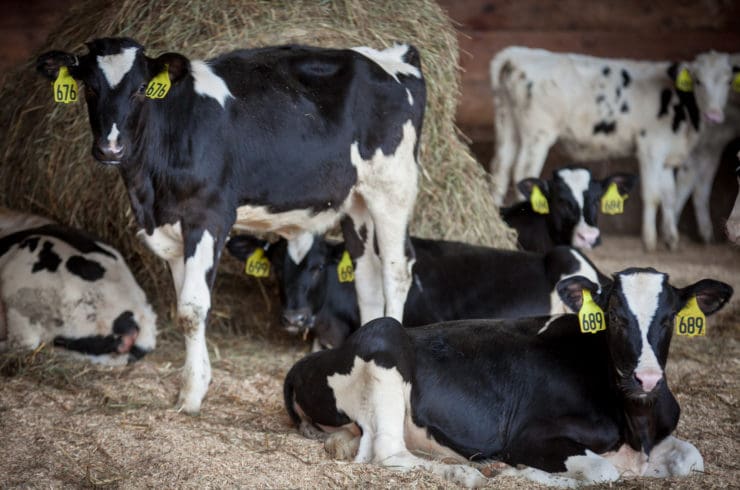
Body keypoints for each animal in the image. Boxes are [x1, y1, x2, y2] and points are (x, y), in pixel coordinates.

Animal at [286, 268, 732, 486]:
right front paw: (518, 471)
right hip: (385, 339)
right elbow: (603, 472)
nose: (647, 379)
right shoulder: (529, 437)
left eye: (670, 318)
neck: (634, 425)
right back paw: (469, 473)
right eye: (616, 316)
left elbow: (693, 459)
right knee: (388, 454)